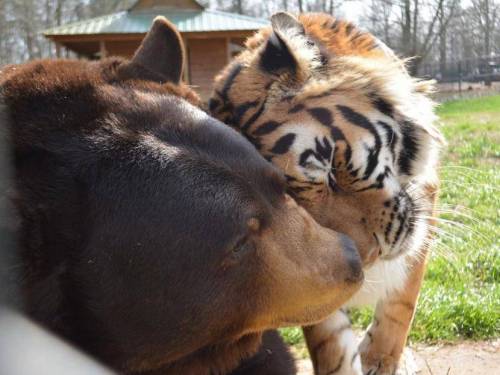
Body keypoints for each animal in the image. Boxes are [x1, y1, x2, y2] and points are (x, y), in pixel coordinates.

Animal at [209, 11, 444, 375]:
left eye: (331, 168)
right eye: (293, 209)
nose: (369, 258)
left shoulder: (424, 203)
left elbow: (401, 300)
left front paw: (380, 360)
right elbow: (329, 338)